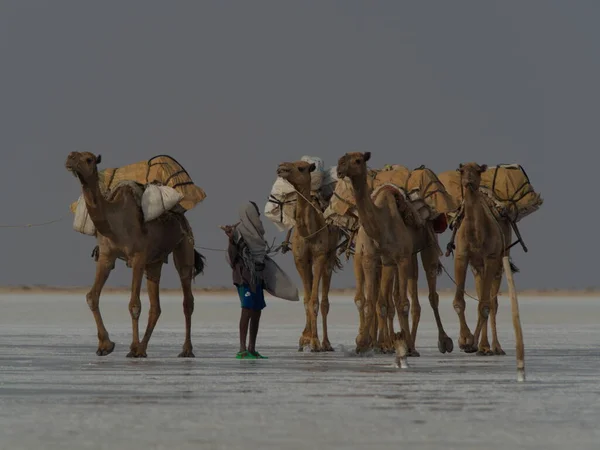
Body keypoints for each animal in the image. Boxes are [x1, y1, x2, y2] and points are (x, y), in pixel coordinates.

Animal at [63, 151, 204, 358]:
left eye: (89, 159)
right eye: (73, 155)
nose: (70, 158)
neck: (115, 221)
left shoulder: (138, 257)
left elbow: (134, 305)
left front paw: (131, 348)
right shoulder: (106, 256)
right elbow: (92, 296)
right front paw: (105, 346)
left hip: (185, 244)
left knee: (187, 298)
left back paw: (185, 350)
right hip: (155, 261)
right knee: (156, 306)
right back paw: (143, 348)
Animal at [278, 160, 342, 354]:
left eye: (301, 168)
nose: (281, 168)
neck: (309, 232)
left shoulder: (320, 256)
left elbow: (314, 300)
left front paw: (314, 342)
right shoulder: (300, 260)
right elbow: (306, 300)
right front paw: (304, 339)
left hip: (329, 258)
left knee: (325, 301)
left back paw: (326, 343)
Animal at [336, 153, 452, 356]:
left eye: (358, 160)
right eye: (343, 158)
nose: (340, 168)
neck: (380, 225)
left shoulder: (400, 258)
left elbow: (402, 303)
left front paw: (399, 345)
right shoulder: (372, 258)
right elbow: (373, 302)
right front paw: (363, 343)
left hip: (427, 246)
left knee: (431, 294)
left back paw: (441, 342)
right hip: (401, 258)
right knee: (395, 298)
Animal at [450, 162, 510, 356]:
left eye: (478, 170)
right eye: (462, 170)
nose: (468, 181)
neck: (476, 236)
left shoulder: (490, 259)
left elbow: (484, 306)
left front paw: (470, 342)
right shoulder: (462, 257)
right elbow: (459, 302)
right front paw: (464, 340)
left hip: (499, 265)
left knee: (492, 303)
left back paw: (494, 347)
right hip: (478, 269)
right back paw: (484, 347)